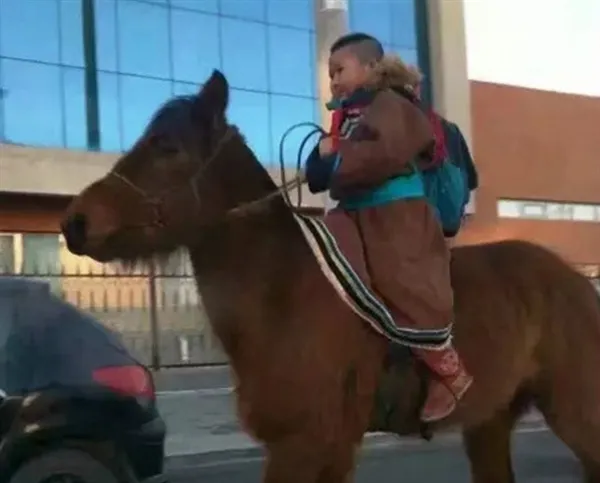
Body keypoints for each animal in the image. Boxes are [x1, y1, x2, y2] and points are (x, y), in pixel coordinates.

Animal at [62, 70, 600, 482]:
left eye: (168, 146)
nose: (76, 222)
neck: (281, 292)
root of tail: (575, 282)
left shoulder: (304, 443)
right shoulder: (323, 446)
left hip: (575, 409)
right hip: (491, 419)